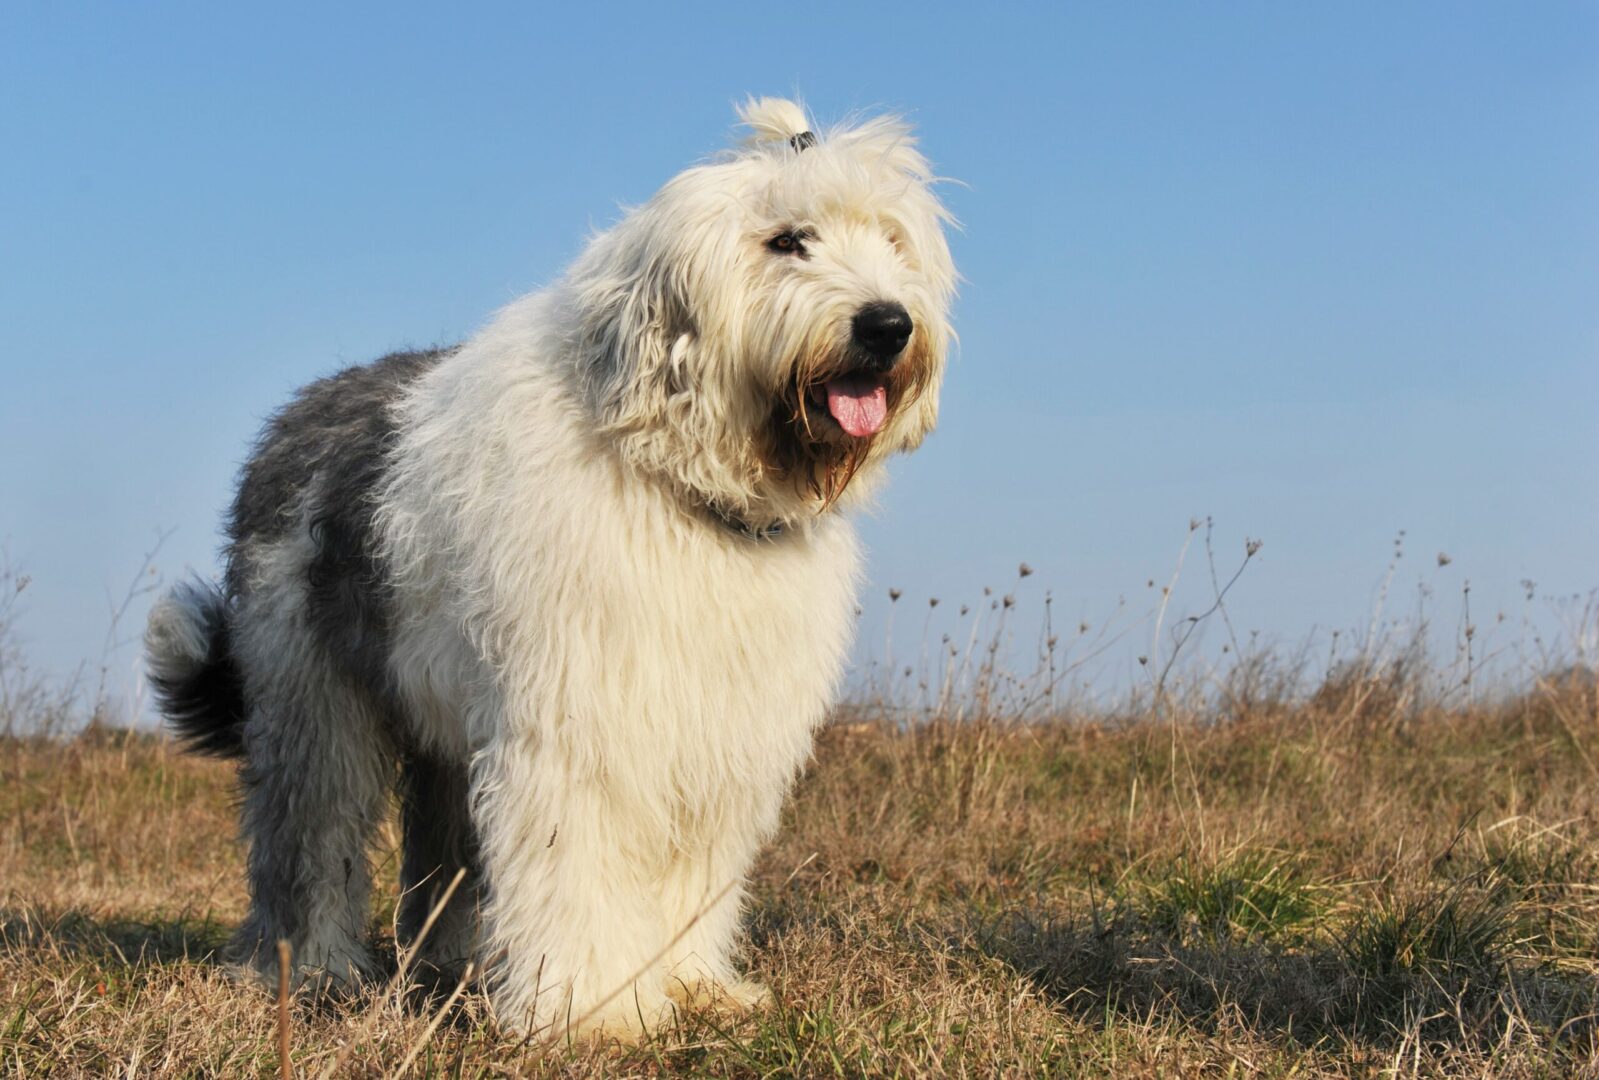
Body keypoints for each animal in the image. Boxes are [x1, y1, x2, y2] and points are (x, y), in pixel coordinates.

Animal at [143, 99, 953, 1036]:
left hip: (444, 722)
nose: (886, 324)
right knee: (312, 831)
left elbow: (688, 872)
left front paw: (690, 985)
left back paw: (449, 963)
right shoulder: (581, 722)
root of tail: (298, 410)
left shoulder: (714, 732)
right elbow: (577, 861)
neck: (676, 480)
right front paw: (595, 1010)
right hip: (309, 693)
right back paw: (309, 968)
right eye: (787, 240)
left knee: (443, 848)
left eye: (891, 240)